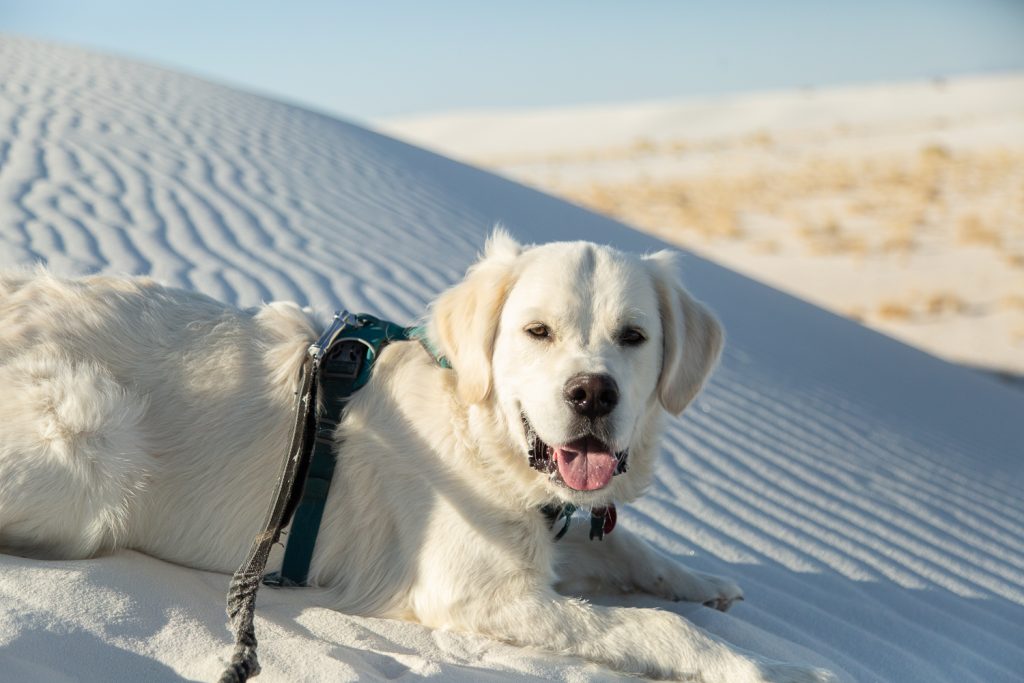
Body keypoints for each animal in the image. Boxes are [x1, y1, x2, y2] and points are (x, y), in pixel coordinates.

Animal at [0, 232, 831, 679]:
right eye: (536, 331)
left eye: (634, 336)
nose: (594, 394)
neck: (486, 430)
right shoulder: (475, 594)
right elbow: (658, 629)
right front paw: (774, 666)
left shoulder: (553, 526)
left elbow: (632, 548)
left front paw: (707, 582)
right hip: (92, 452)